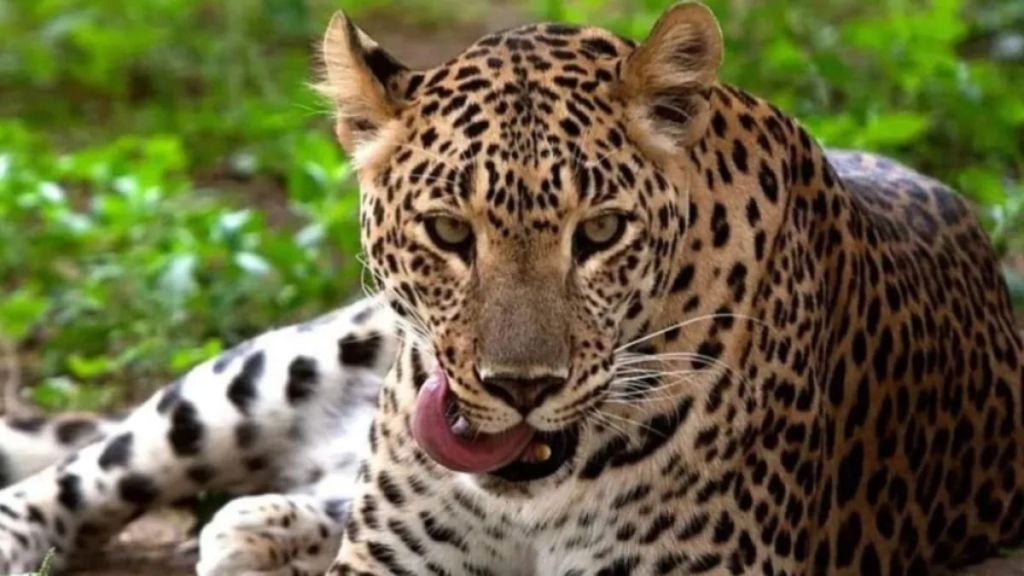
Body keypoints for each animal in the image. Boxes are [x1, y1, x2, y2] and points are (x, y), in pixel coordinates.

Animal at [0, 2, 1021, 575]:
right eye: (450, 234)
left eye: (599, 233)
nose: (520, 387)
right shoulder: (387, 564)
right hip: (272, 370)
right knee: (86, 472)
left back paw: (256, 527)